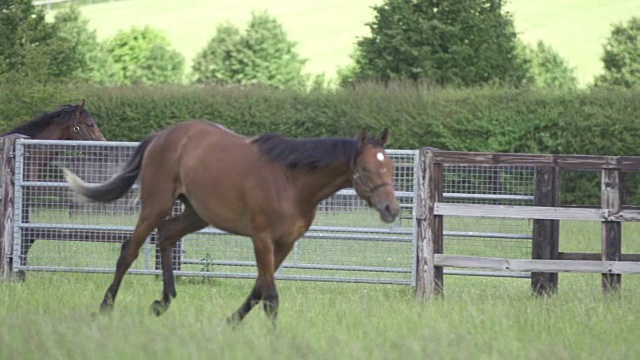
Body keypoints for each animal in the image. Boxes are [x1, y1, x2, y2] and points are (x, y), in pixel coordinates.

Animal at [61, 120, 400, 324]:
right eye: (366, 168)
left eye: (392, 167)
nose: (391, 209)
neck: (291, 181)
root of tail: (162, 136)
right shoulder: (262, 240)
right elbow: (270, 296)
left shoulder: (285, 245)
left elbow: (259, 289)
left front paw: (231, 322)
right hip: (156, 205)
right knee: (128, 252)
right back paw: (104, 309)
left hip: (196, 213)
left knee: (167, 236)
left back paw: (163, 302)